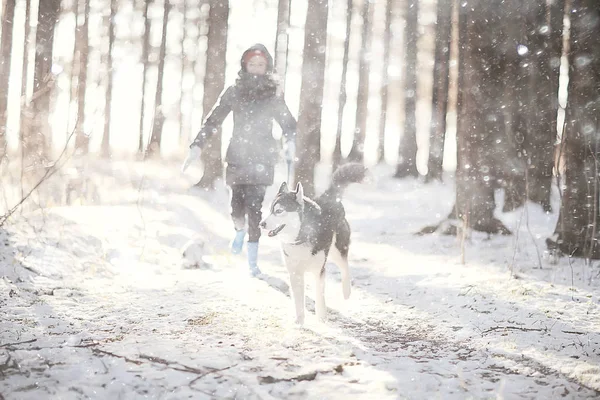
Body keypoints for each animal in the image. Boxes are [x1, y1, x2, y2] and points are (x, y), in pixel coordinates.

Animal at [262, 164, 368, 324]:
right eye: (270, 211)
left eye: (279, 211)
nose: (261, 223)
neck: (301, 239)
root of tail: (329, 197)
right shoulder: (295, 273)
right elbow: (298, 300)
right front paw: (299, 322)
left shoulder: (319, 271)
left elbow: (319, 295)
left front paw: (322, 318)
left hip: (336, 249)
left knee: (344, 266)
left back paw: (346, 291)